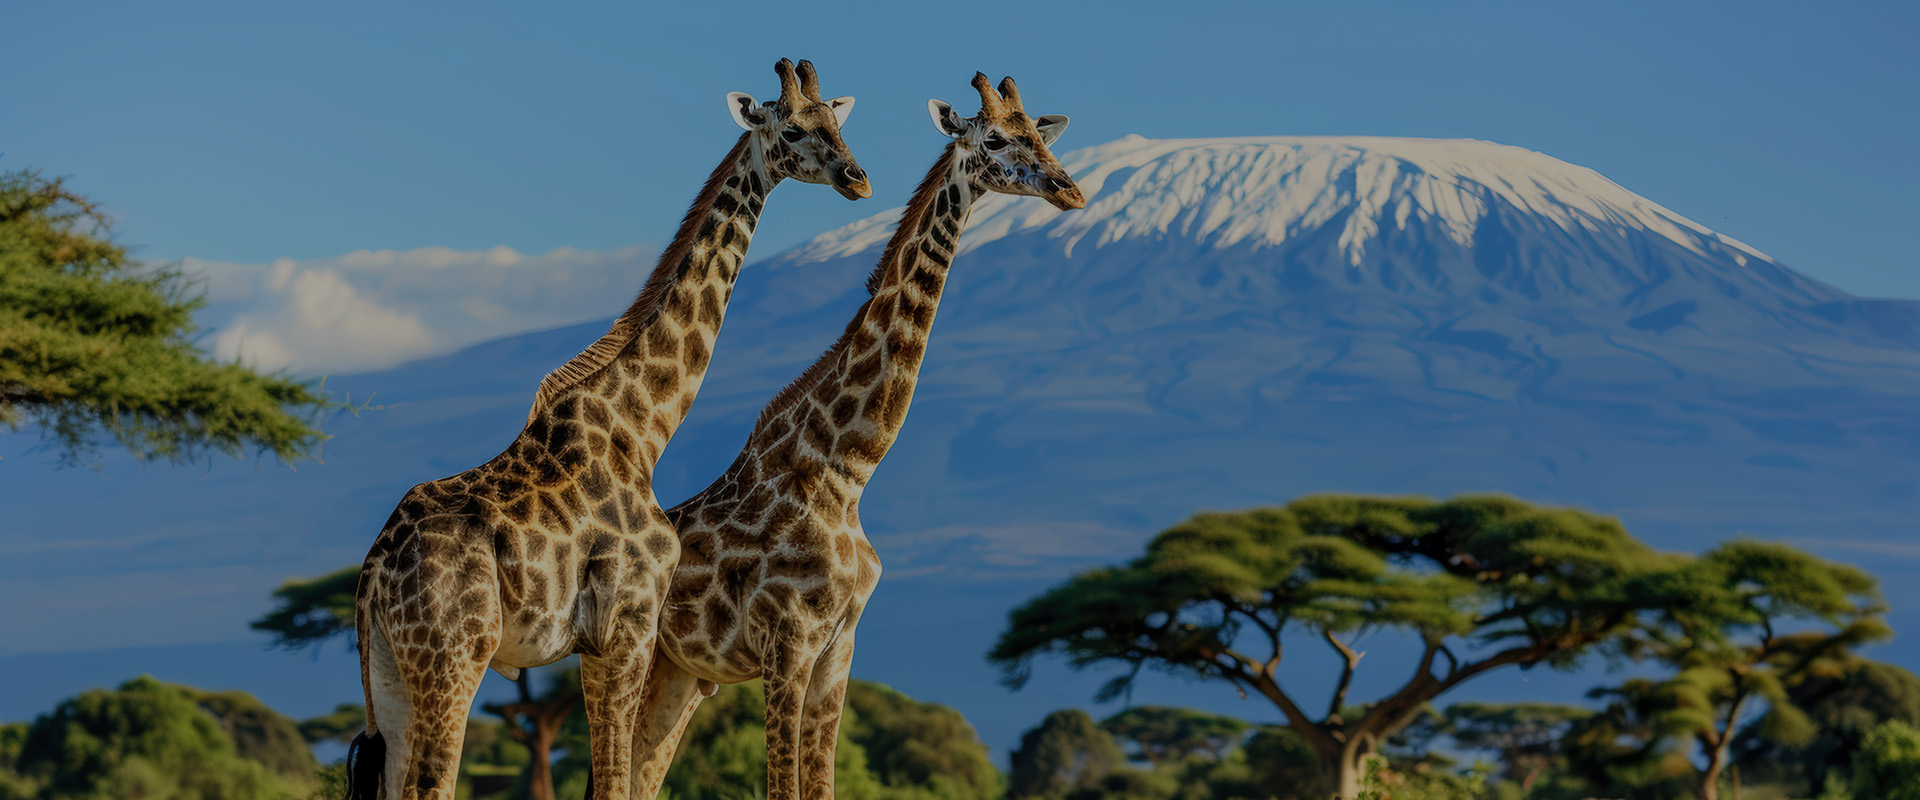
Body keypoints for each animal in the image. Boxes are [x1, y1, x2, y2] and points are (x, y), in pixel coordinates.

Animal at [343, 58, 871, 800]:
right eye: (793, 129)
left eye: (837, 123)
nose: (858, 178)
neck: (644, 426)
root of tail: (371, 574)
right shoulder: (626, 624)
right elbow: (618, 780)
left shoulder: (609, 638)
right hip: (455, 656)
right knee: (432, 783)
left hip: (392, 672)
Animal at [624, 73, 1085, 800]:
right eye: (993, 139)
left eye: (1041, 137)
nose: (1070, 191)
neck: (845, 470)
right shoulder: (787, 647)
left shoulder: (838, 650)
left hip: (684, 674)